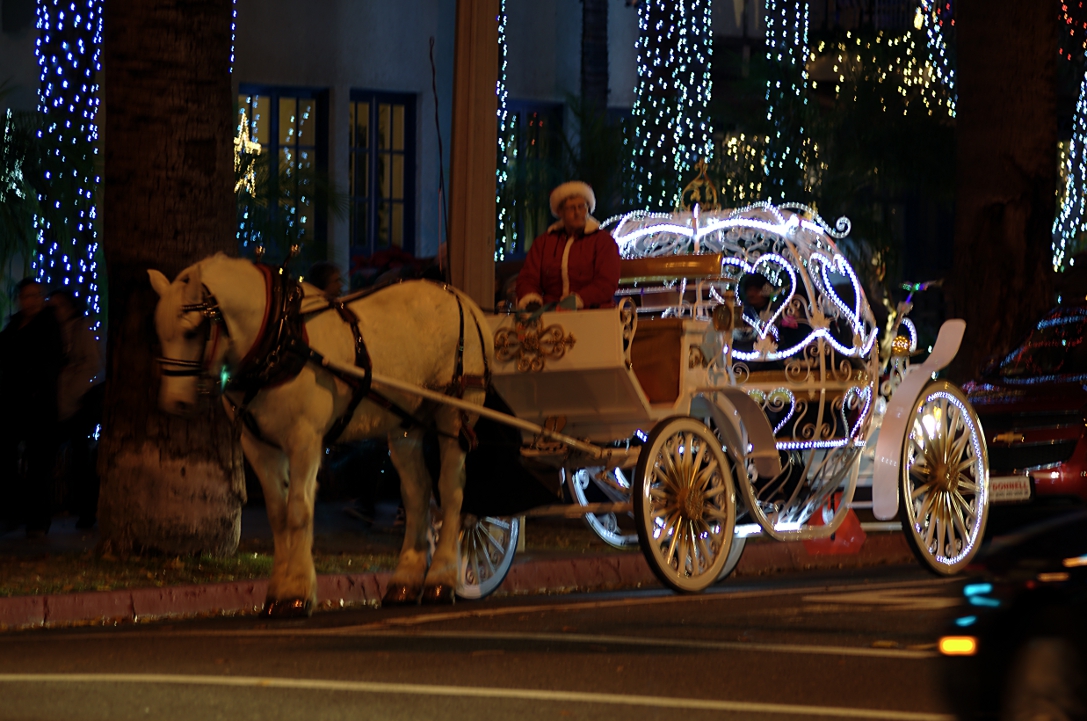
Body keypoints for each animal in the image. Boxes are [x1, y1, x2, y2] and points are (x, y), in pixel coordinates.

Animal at [148, 253, 493, 613]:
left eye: (192, 331)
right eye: (160, 332)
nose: (174, 402)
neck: (280, 339)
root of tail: (463, 300)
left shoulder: (305, 440)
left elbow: (299, 510)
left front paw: (296, 592)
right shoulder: (258, 445)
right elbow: (278, 513)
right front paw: (278, 589)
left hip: (455, 416)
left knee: (451, 493)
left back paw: (442, 578)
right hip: (406, 425)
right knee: (417, 495)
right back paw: (405, 582)